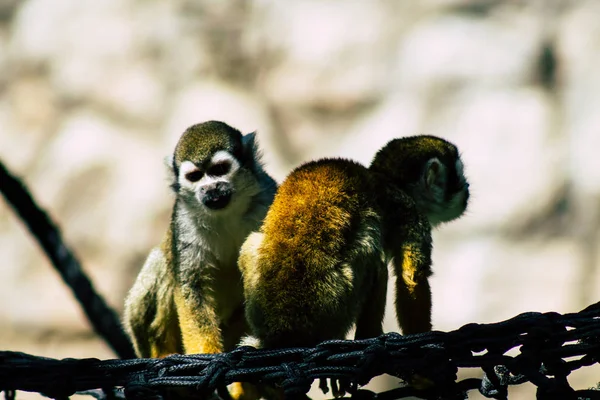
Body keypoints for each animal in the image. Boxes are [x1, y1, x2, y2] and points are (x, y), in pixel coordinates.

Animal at [125, 122, 278, 400]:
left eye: (219, 170)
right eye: (196, 177)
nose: (211, 189)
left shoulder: (268, 197)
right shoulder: (183, 218)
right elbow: (191, 288)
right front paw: (206, 361)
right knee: (163, 264)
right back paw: (163, 356)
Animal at [238, 135, 468, 354]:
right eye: (458, 176)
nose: (466, 188)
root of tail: (281, 329)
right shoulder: (411, 212)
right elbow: (412, 277)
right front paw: (422, 339)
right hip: (334, 307)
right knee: (375, 262)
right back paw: (368, 335)